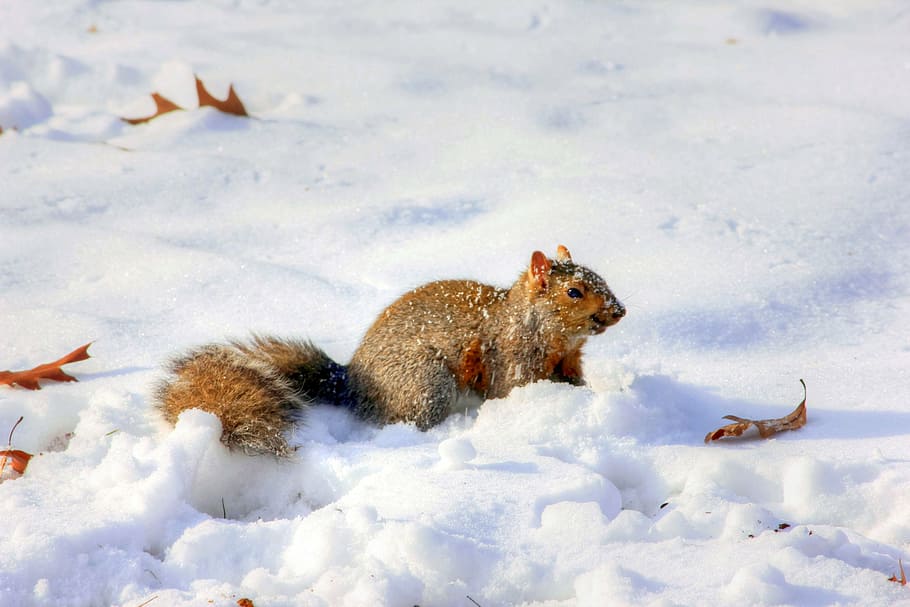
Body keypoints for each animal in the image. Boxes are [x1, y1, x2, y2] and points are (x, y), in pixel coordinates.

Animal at [155, 245, 625, 456]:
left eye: (601, 277)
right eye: (574, 291)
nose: (620, 311)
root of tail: (352, 382)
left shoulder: (569, 362)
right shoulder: (511, 360)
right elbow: (514, 389)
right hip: (426, 383)